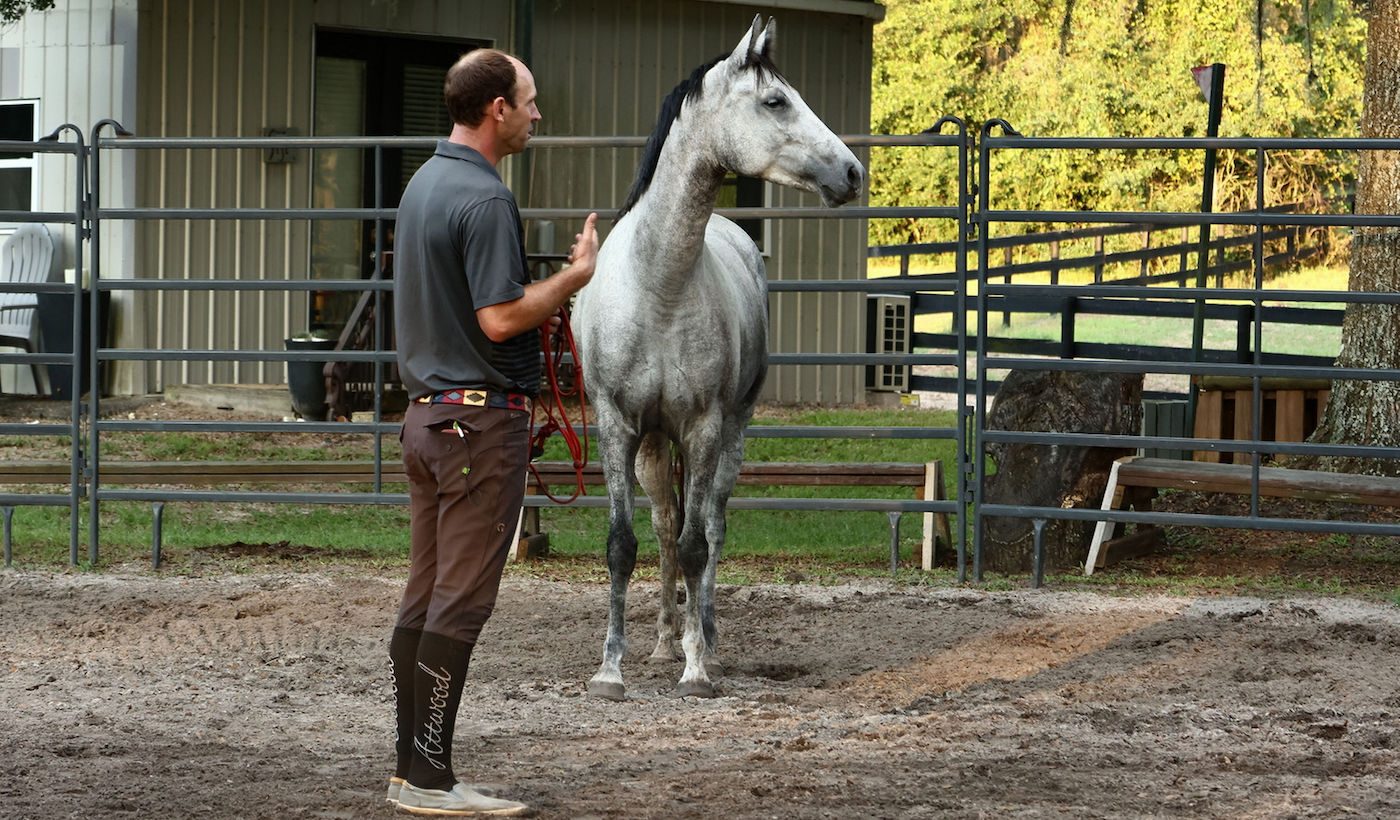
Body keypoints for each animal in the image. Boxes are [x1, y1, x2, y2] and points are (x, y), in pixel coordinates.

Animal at [571, 15, 864, 700]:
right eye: (775, 100)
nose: (851, 171)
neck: (658, 287)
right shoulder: (615, 425)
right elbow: (623, 544)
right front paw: (610, 670)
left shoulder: (703, 427)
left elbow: (698, 545)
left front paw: (697, 668)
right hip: (654, 444)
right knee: (664, 526)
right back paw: (660, 641)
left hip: (731, 432)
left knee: (709, 525)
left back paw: (703, 637)